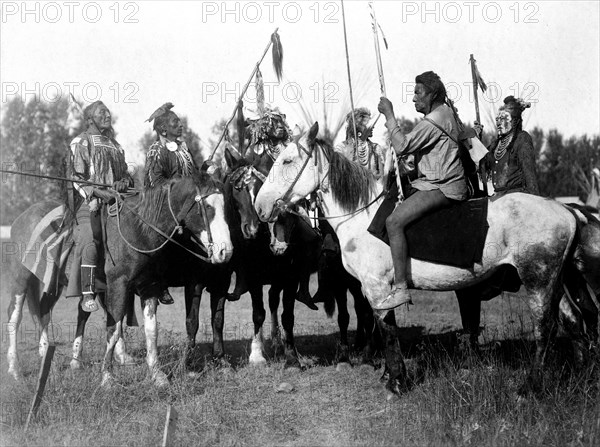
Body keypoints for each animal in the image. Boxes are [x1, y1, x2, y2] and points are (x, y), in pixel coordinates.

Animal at [255, 123, 580, 400]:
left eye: (286, 160)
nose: (260, 206)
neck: (361, 213)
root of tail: (568, 211)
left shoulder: (376, 287)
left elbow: (386, 329)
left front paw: (397, 382)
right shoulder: (375, 289)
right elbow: (381, 326)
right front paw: (389, 375)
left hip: (537, 280)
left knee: (545, 328)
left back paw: (530, 386)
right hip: (556, 284)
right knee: (572, 321)